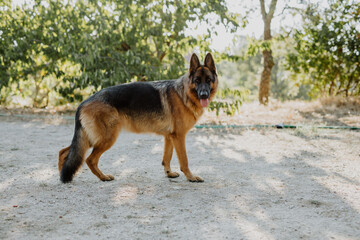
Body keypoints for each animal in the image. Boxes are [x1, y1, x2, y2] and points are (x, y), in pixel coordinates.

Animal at [57, 53, 218, 182]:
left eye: (208, 80)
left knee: (64, 152)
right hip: (105, 138)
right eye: (197, 81)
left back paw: (61, 176)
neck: (184, 94)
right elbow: (184, 160)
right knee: (89, 159)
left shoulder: (170, 137)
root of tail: (83, 103)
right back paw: (103, 177)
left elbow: (167, 157)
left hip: (89, 138)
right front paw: (191, 177)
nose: (204, 95)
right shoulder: (179, 136)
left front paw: (169, 173)